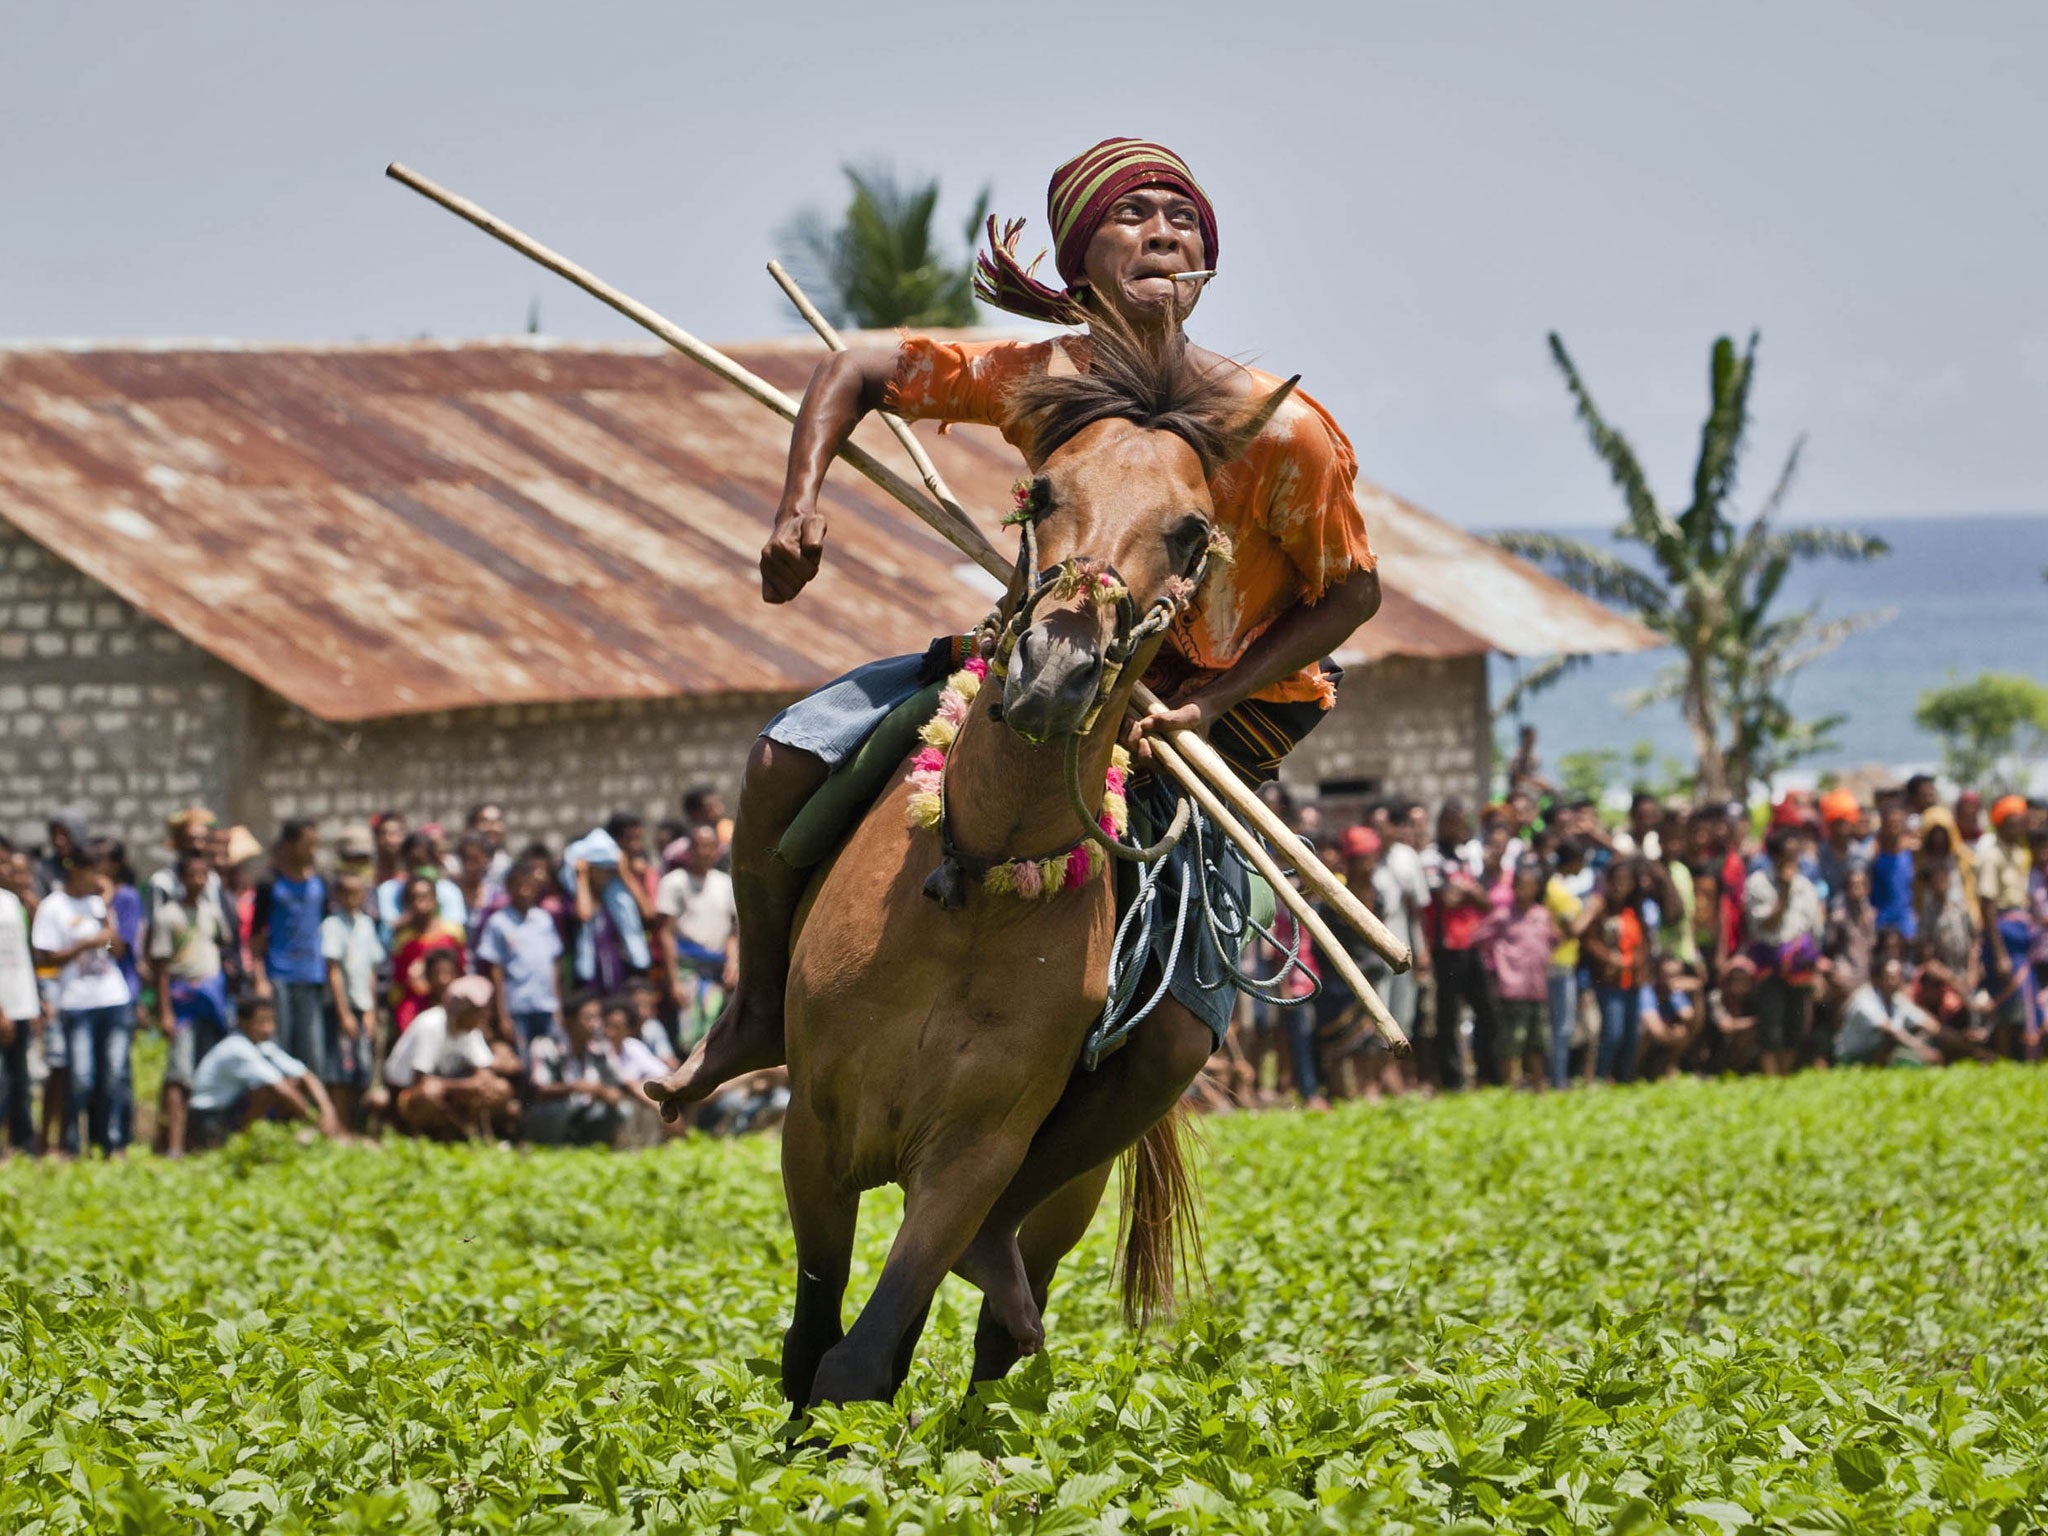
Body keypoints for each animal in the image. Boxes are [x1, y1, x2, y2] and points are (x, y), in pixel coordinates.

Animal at [774, 331, 1286, 1417]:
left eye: (1191, 532)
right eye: (1039, 492)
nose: (1055, 668)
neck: (973, 882)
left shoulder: (972, 1158)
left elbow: (860, 1359)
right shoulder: (815, 1132)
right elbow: (813, 1345)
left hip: (1065, 1196)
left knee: (998, 1319)